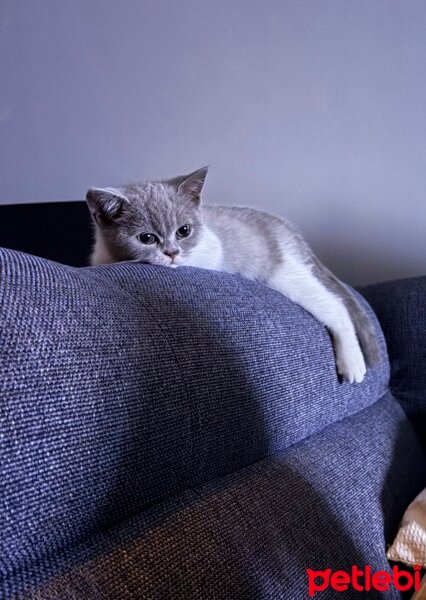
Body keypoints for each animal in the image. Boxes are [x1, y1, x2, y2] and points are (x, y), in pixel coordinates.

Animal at [86, 165, 380, 384]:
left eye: (184, 231)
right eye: (146, 238)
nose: (172, 253)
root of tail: (285, 228)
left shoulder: (212, 250)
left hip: (283, 274)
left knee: (334, 305)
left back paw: (352, 363)